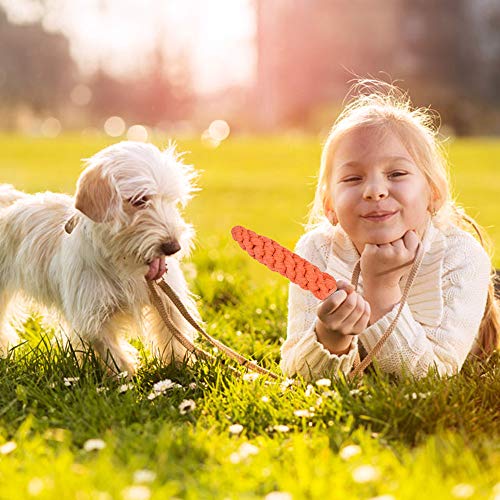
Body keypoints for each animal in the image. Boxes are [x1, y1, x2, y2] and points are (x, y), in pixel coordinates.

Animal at [0, 141, 200, 376]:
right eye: (139, 200)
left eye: (172, 200)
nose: (173, 247)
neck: (123, 261)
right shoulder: (92, 316)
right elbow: (111, 351)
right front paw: (126, 375)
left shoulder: (167, 300)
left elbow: (174, 336)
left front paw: (180, 369)